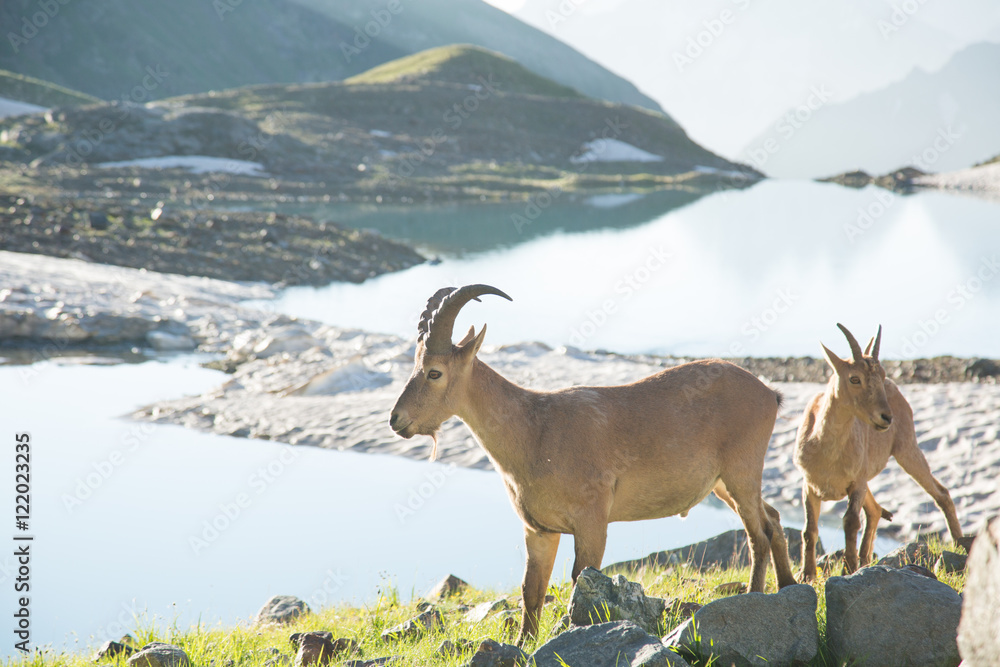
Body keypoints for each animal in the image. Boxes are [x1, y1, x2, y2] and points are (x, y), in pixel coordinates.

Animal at [390, 284, 796, 644]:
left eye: (435, 372)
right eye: (414, 366)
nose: (396, 420)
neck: (534, 432)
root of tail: (768, 394)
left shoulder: (592, 522)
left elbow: (579, 582)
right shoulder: (538, 529)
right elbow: (531, 589)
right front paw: (523, 644)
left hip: (742, 470)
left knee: (758, 534)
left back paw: (756, 595)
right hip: (723, 483)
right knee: (773, 519)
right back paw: (790, 585)